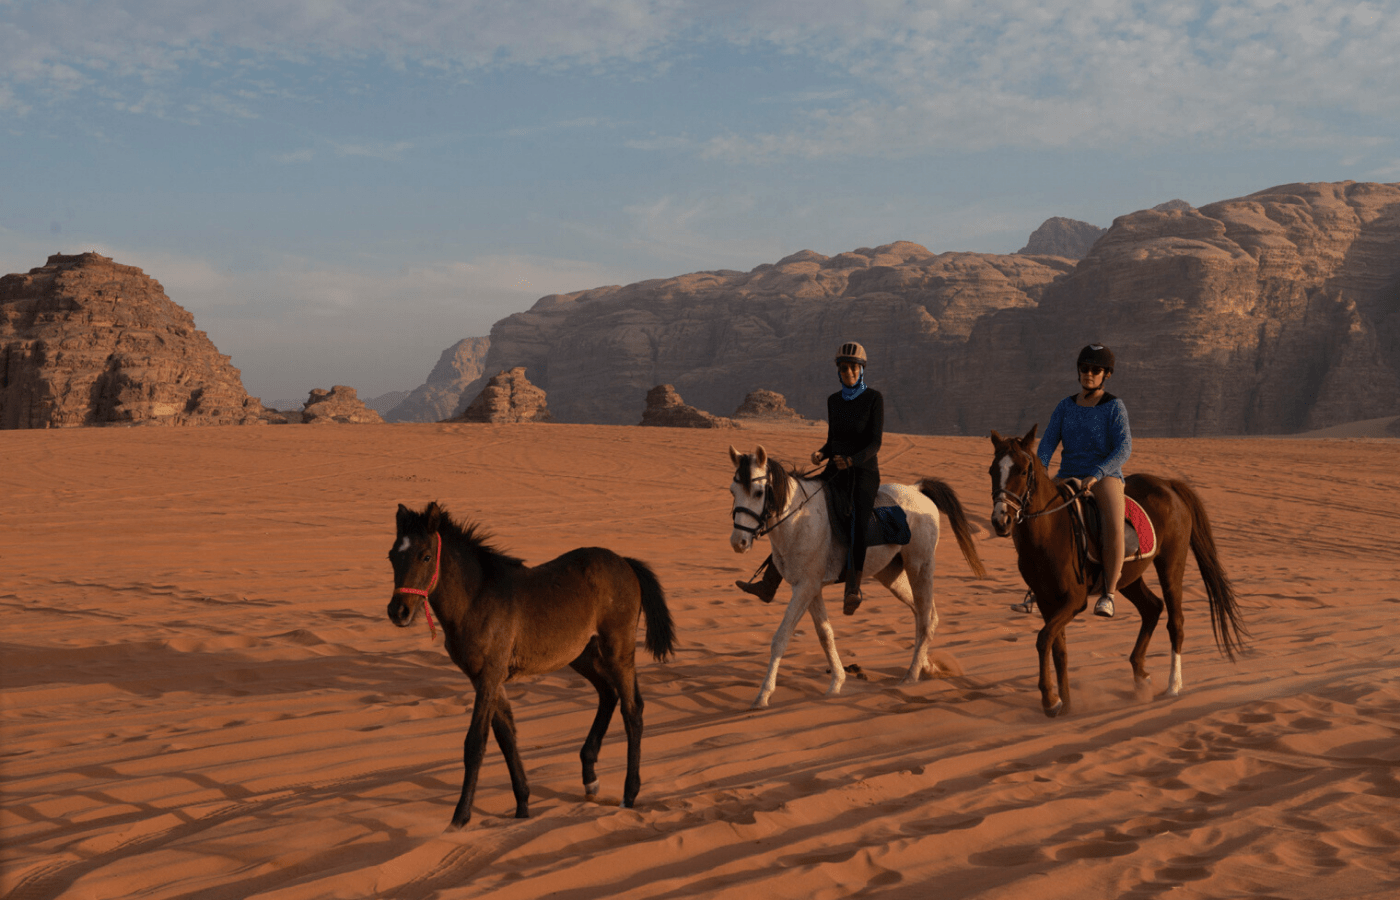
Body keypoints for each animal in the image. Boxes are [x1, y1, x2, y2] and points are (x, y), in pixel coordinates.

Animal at [386, 503, 674, 828]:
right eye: (392, 555)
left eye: (425, 555)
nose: (398, 612)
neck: (475, 599)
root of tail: (625, 562)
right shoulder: (485, 678)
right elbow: (506, 736)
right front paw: (522, 805)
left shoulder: (489, 675)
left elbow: (476, 742)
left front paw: (460, 817)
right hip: (581, 654)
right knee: (608, 694)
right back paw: (590, 777)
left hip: (617, 650)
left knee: (632, 710)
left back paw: (629, 793)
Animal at [728, 447, 991, 708]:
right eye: (733, 491)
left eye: (759, 492)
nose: (738, 542)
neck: (798, 520)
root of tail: (917, 489)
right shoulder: (811, 588)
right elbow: (825, 635)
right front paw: (836, 684)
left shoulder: (805, 588)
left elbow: (780, 638)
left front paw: (763, 695)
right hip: (892, 576)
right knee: (923, 613)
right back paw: (926, 665)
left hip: (920, 567)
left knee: (926, 618)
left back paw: (911, 676)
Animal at [985, 428, 1248, 716]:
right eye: (992, 471)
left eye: (1022, 471)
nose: (1001, 520)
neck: (1051, 530)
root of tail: (1168, 485)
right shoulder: (1047, 601)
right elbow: (1058, 649)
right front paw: (1065, 703)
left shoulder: (1074, 601)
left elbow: (1043, 639)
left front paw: (1050, 700)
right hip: (1127, 577)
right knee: (1152, 607)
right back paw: (1141, 677)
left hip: (1170, 564)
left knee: (1175, 621)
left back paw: (1173, 686)